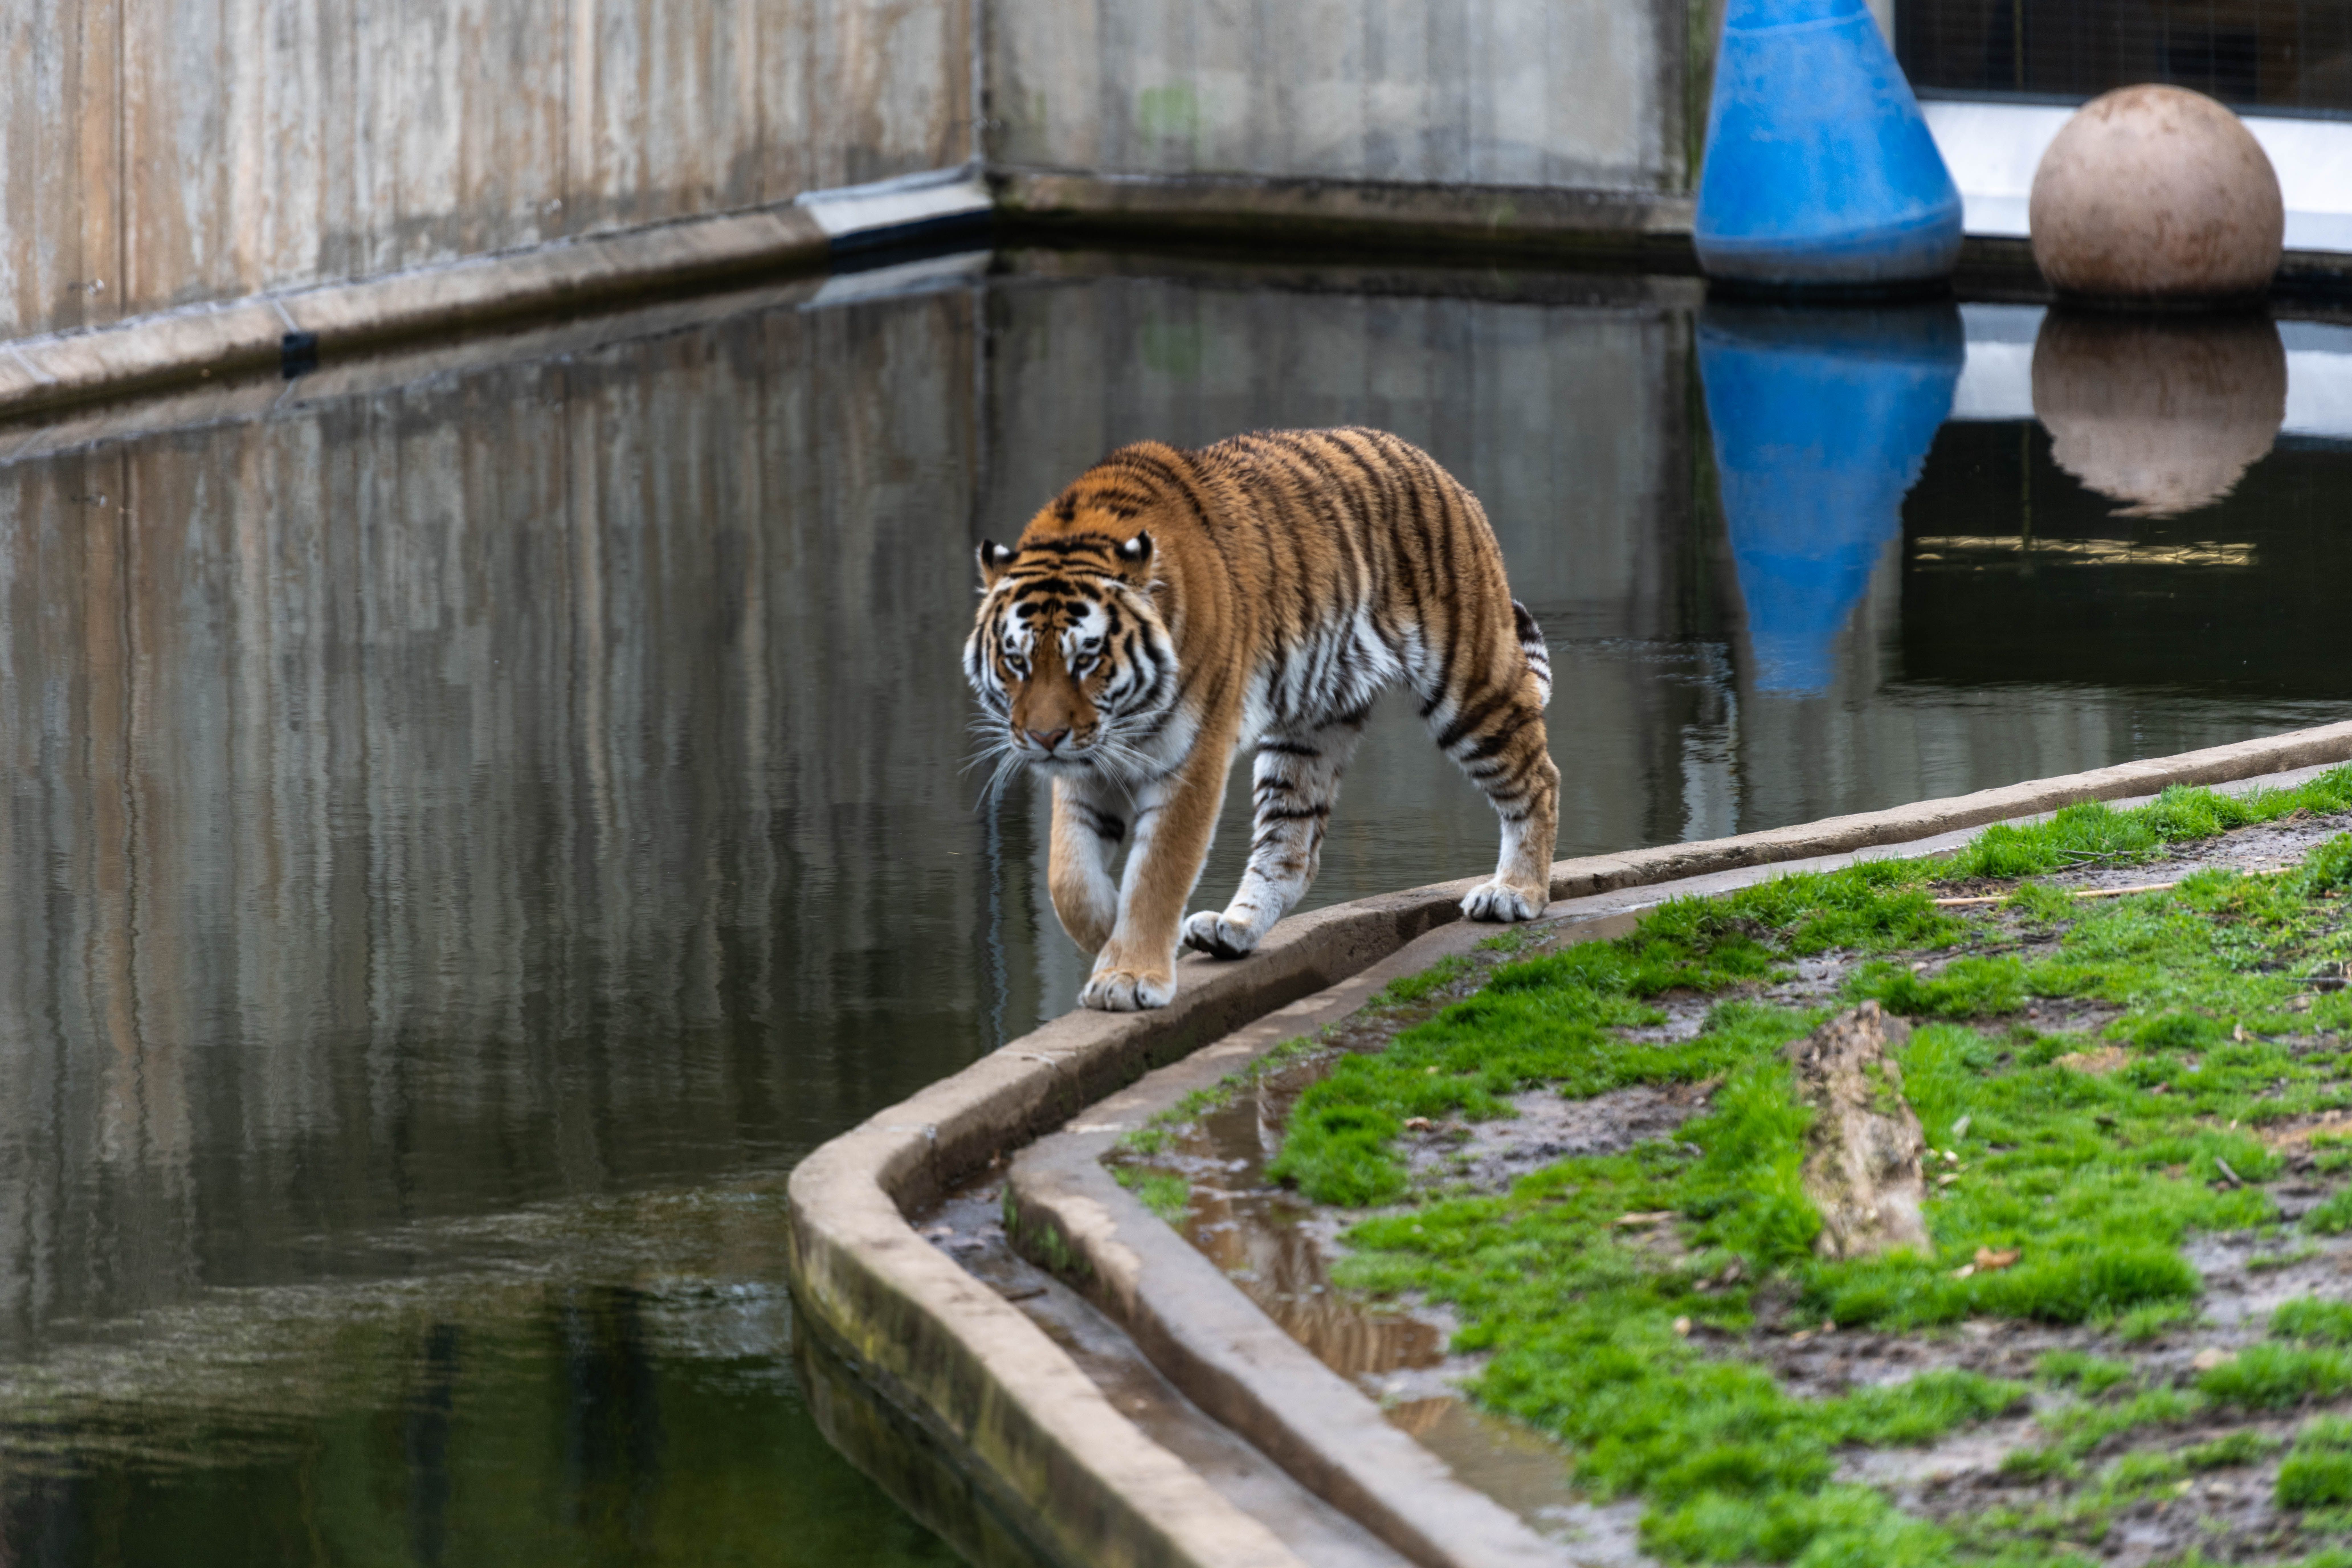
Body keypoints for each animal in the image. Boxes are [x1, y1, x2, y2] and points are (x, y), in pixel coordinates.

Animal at [964, 426, 1559, 1013]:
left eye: (1085, 659)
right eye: (1017, 660)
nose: (1044, 738)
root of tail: (1431, 464)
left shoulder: (1193, 757)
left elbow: (1158, 871)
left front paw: (1129, 974)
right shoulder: (1088, 767)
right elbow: (1069, 877)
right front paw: (1115, 932)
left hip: (1469, 684)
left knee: (1539, 779)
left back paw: (1514, 893)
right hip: (1307, 734)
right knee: (1290, 849)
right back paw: (1232, 928)